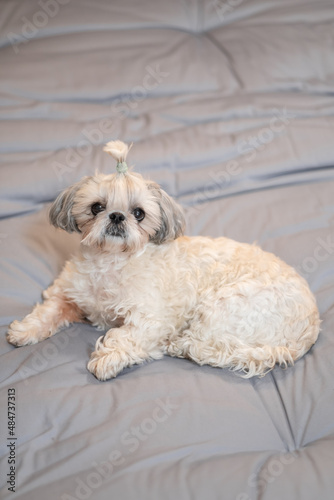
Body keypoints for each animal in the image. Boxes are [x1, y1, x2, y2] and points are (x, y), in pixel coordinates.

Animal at [7, 141, 320, 378]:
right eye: (97, 207)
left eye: (138, 213)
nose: (116, 216)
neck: (110, 262)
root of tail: (308, 330)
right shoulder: (69, 293)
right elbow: (49, 311)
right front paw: (24, 330)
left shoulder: (151, 319)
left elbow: (125, 336)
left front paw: (108, 358)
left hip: (222, 309)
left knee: (213, 348)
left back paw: (181, 345)